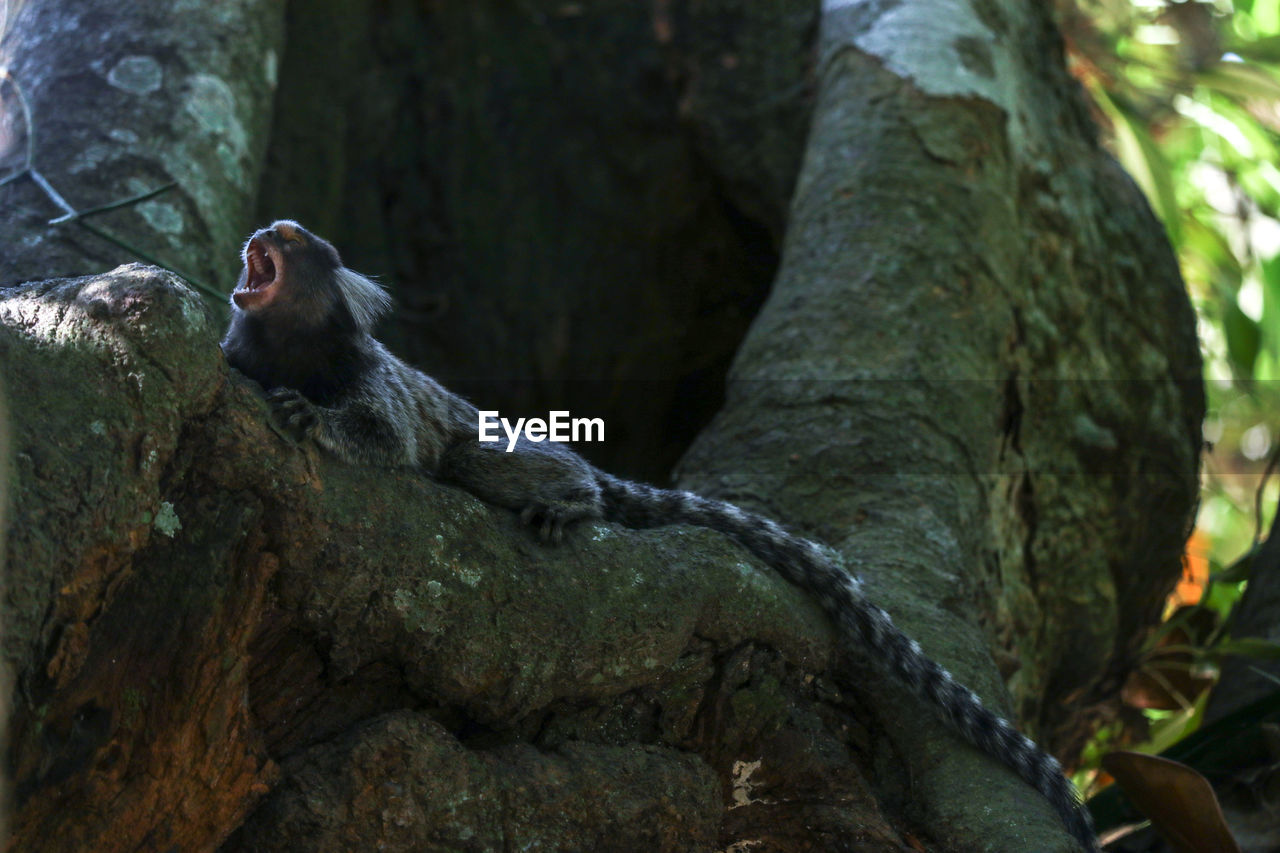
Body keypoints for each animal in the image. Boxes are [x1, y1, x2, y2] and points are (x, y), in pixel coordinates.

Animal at [222, 220, 1100, 850]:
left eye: (292, 241)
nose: (267, 230)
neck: (293, 350)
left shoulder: (372, 382)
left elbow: (388, 438)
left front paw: (316, 420)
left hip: (518, 450)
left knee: (480, 458)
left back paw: (573, 501)